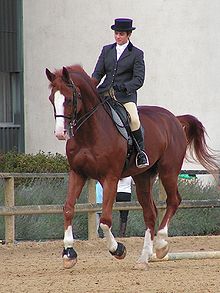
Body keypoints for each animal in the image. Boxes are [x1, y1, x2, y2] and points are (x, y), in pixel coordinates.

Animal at [45, 65, 219, 268]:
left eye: (69, 99)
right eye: (51, 99)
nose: (60, 133)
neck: (89, 134)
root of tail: (174, 118)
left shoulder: (110, 177)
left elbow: (105, 220)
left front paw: (118, 249)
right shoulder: (78, 174)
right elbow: (68, 209)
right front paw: (69, 254)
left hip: (169, 171)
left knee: (173, 201)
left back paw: (161, 245)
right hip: (143, 176)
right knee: (150, 213)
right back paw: (144, 259)